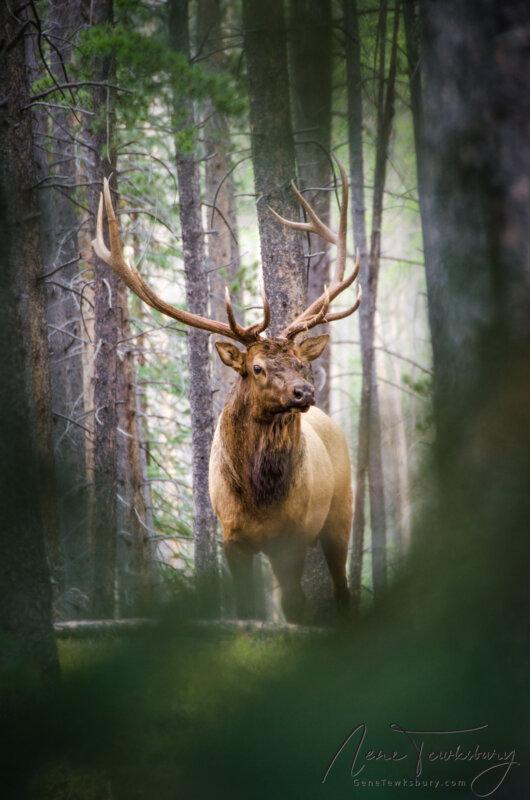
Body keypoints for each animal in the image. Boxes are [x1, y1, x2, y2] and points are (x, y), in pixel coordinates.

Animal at [93, 162, 360, 620]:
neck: (260, 500)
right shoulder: (231, 539)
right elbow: (247, 609)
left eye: (301, 362)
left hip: (341, 512)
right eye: (256, 367)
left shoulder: (291, 538)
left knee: (342, 589)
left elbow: (294, 606)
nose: (304, 392)